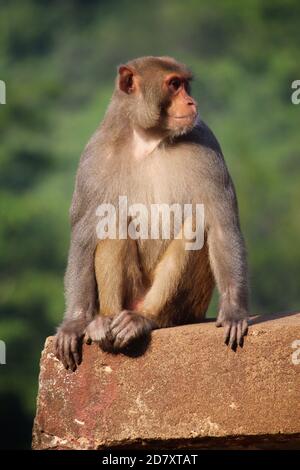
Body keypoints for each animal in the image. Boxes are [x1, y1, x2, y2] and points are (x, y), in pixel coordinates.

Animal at [55, 56, 248, 370]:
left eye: (184, 84)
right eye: (174, 84)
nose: (191, 102)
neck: (148, 139)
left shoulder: (206, 142)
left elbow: (221, 225)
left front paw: (233, 310)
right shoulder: (92, 159)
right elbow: (84, 235)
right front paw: (75, 322)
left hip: (185, 306)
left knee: (196, 226)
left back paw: (145, 319)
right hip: (132, 293)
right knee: (112, 220)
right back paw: (105, 322)